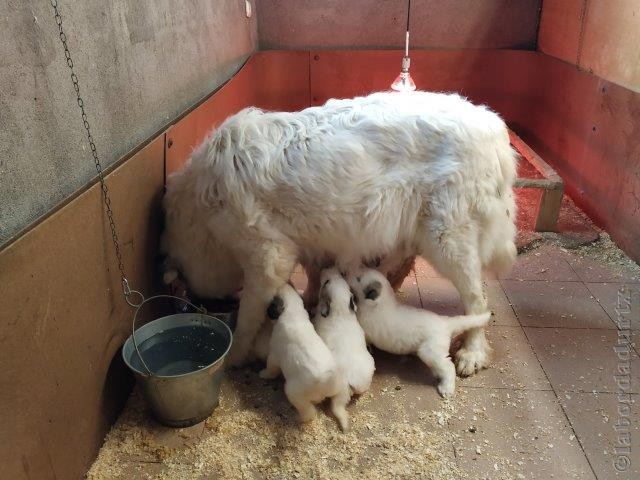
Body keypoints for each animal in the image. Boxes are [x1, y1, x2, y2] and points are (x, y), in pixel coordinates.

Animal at [162, 92, 516, 374]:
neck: (200, 210)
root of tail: (495, 129)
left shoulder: (267, 256)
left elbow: (249, 316)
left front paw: (234, 354)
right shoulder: (308, 243)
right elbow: (314, 273)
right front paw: (310, 300)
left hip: (447, 240)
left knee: (477, 302)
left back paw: (472, 351)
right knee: (402, 260)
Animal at [258, 284, 348, 430]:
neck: (292, 311)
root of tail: (326, 381)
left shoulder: (274, 355)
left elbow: (271, 368)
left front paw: (263, 374)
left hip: (293, 393)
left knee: (309, 412)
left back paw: (298, 419)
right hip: (339, 389)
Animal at [350, 270, 490, 398]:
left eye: (358, 278)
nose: (347, 275)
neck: (381, 305)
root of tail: (445, 323)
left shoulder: (366, 332)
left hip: (429, 352)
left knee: (449, 367)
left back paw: (446, 388)